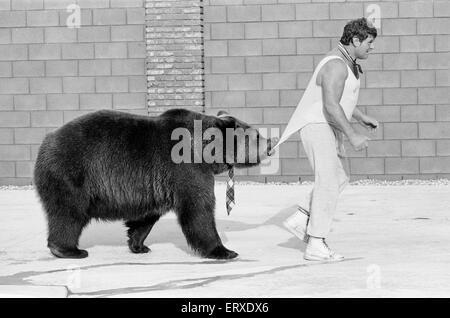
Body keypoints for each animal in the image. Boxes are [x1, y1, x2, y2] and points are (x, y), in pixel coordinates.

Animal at [33, 108, 276, 260]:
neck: (205, 150)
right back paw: (69, 250)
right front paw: (224, 251)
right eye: (256, 134)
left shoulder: (154, 183)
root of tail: (47, 140)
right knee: (68, 213)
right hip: (72, 171)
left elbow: (146, 217)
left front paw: (139, 244)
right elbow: (199, 209)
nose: (271, 142)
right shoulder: (186, 168)